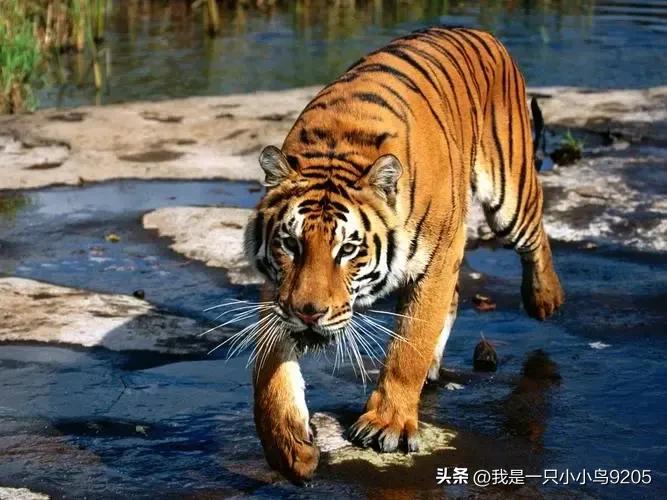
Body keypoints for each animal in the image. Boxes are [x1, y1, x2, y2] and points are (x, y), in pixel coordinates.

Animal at [244, 26, 564, 483]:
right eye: (291, 244)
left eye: (348, 249)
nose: (309, 313)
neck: (338, 149)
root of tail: (479, 30)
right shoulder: (278, 288)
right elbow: (268, 372)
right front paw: (288, 447)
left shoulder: (440, 256)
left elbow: (410, 344)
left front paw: (388, 424)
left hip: (509, 193)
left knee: (535, 234)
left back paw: (545, 298)